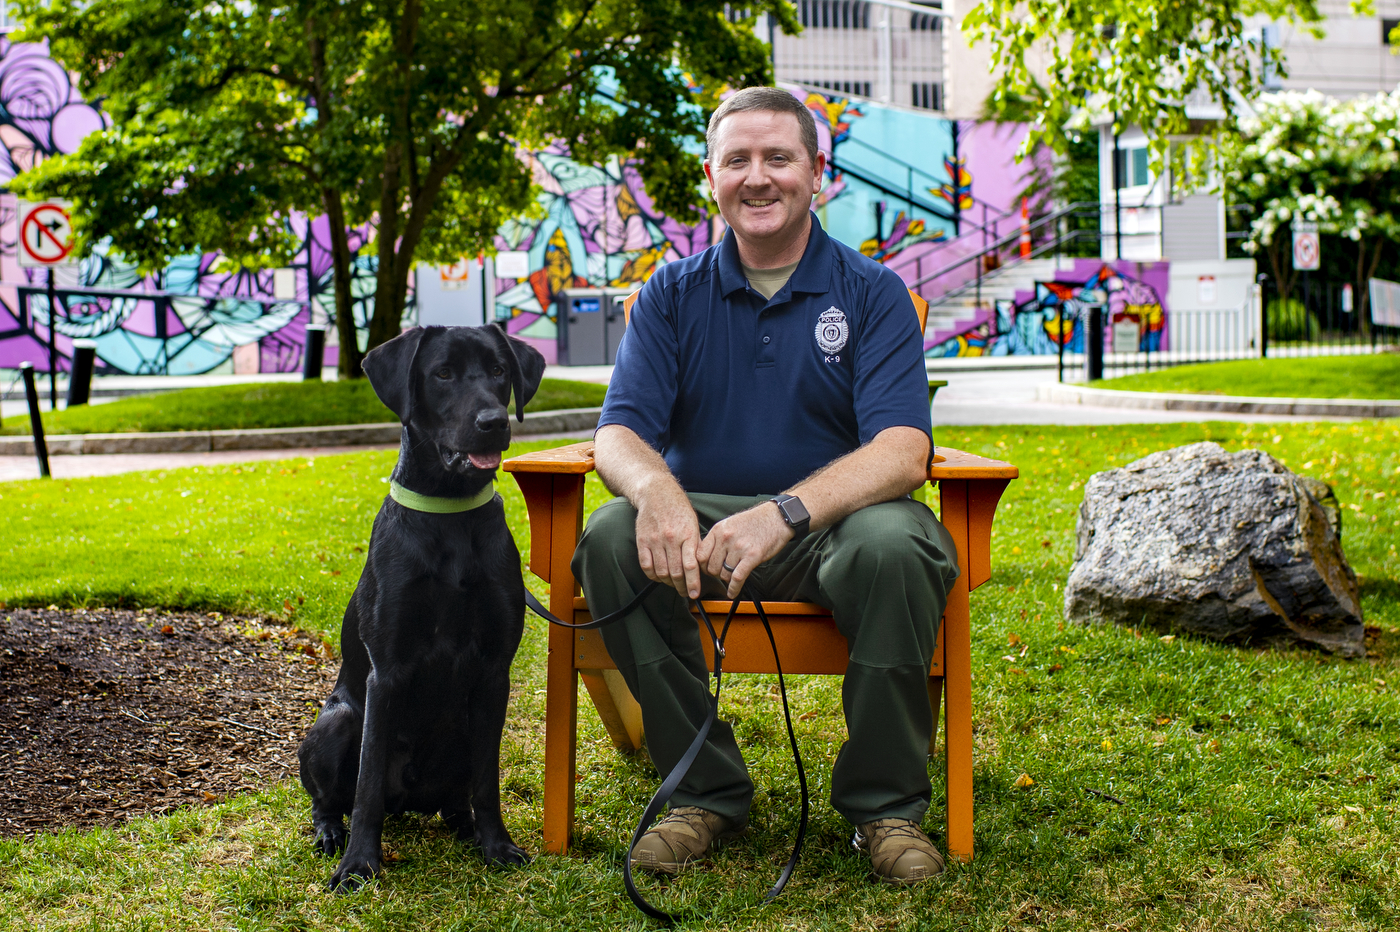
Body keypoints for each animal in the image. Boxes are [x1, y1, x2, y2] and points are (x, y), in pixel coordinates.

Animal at [301, 323, 546, 890]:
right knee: (332, 798)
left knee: (461, 793)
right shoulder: (386, 671)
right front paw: (359, 865)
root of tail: (408, 802)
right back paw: (331, 834)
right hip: (334, 724)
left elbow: (488, 780)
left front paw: (497, 845)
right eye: (443, 373)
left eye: (499, 371)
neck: (450, 514)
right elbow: (366, 786)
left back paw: (466, 827)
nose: (494, 422)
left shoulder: (495, 672)